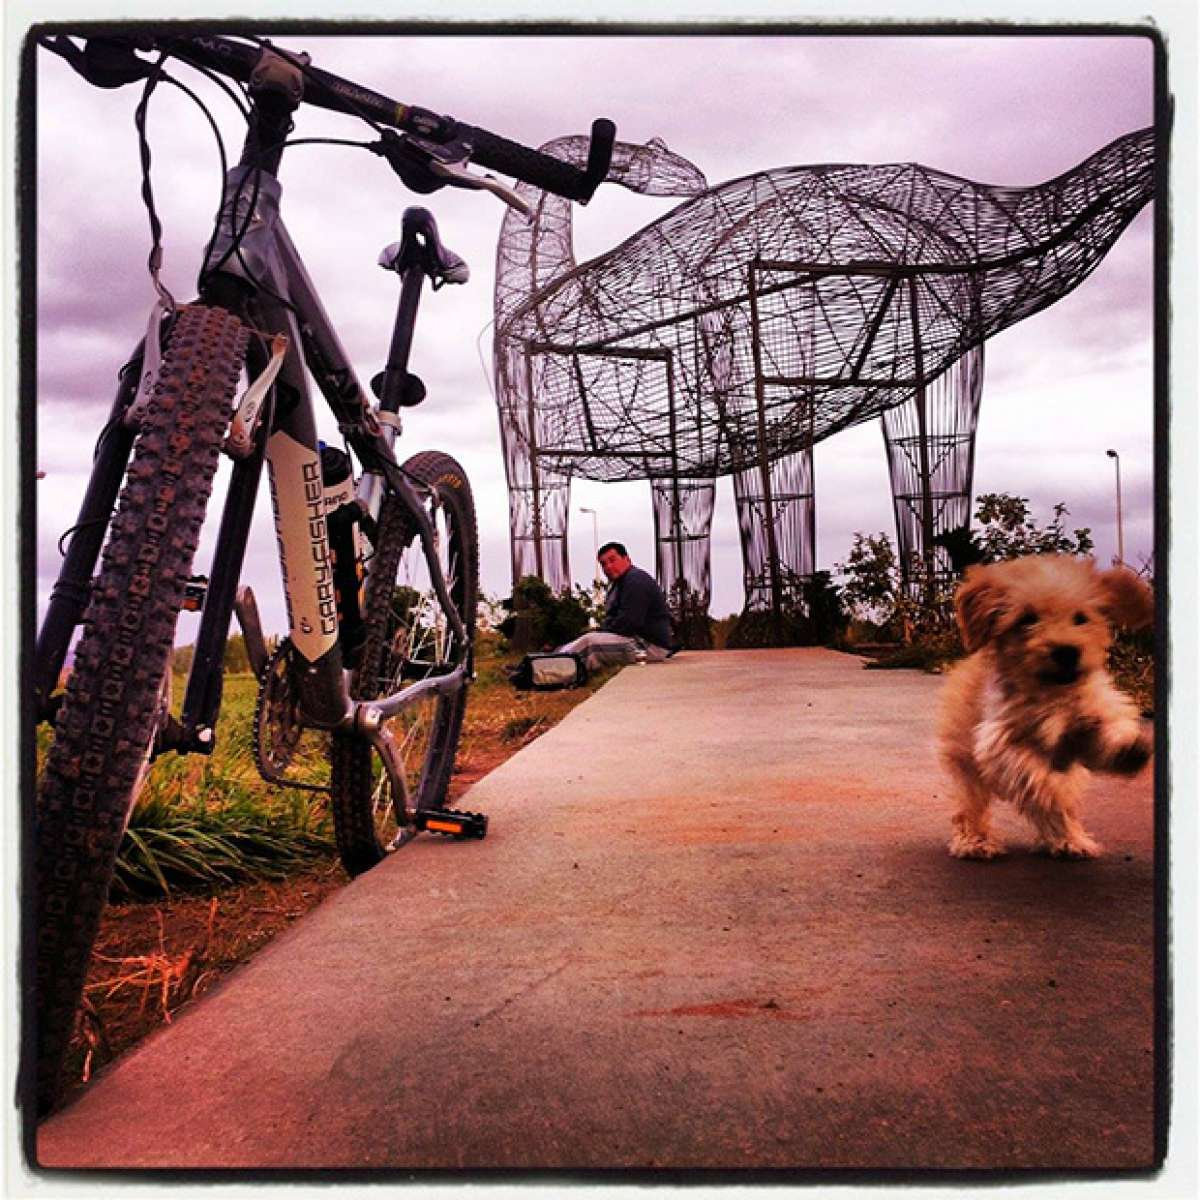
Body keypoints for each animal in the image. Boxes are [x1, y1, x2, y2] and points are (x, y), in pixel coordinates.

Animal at [936, 556, 1152, 859]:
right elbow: (1032, 772)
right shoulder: (999, 742)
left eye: (1081, 618)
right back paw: (975, 841)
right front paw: (1048, 789)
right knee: (972, 807)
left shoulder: (1094, 706)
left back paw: (1067, 839)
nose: (1066, 651)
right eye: (1027, 619)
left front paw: (1127, 748)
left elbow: (1106, 723)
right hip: (967, 765)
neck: (1052, 693)